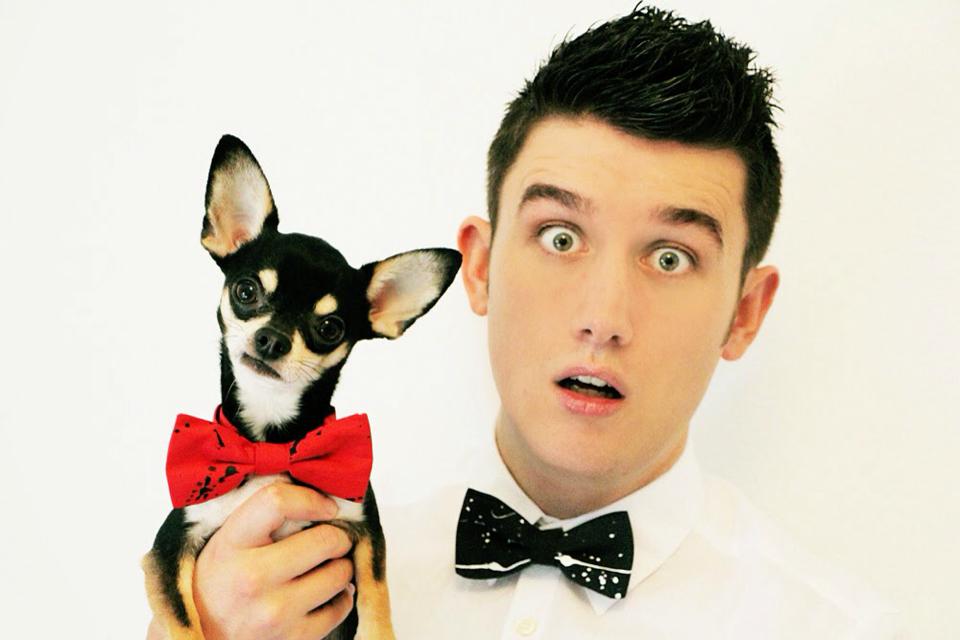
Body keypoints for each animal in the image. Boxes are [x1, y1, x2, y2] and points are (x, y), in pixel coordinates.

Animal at [142, 134, 461, 639]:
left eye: (329, 328)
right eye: (246, 291)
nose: (272, 339)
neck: (271, 444)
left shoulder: (363, 528)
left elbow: (377, 595)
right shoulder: (169, 545)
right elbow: (180, 616)